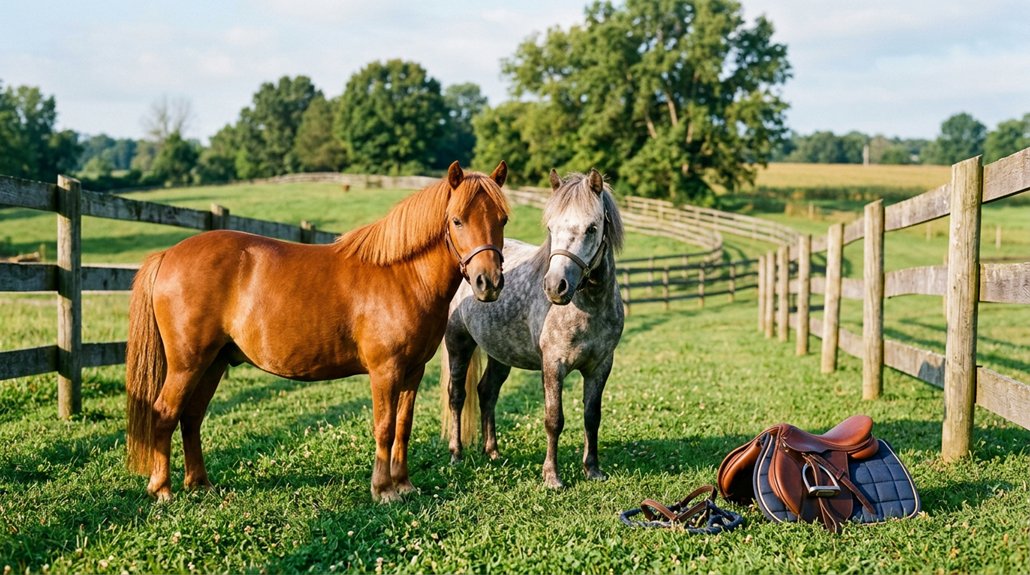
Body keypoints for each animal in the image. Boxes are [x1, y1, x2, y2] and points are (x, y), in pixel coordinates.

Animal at [125, 160, 510, 503]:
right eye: (457, 220)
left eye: (502, 220)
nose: (488, 282)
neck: (402, 275)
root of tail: (167, 254)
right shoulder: (385, 371)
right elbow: (384, 427)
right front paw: (383, 490)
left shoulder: (413, 371)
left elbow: (403, 425)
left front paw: (403, 485)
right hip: (187, 364)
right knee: (165, 413)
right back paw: (162, 490)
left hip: (213, 363)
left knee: (191, 418)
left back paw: (200, 484)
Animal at [440, 168, 624, 489]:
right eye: (551, 228)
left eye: (591, 228)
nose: (555, 286)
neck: (589, 308)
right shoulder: (553, 365)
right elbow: (554, 419)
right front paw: (552, 476)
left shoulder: (601, 365)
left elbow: (592, 416)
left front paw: (592, 469)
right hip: (458, 344)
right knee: (457, 395)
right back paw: (456, 453)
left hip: (500, 353)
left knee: (487, 392)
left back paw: (492, 452)